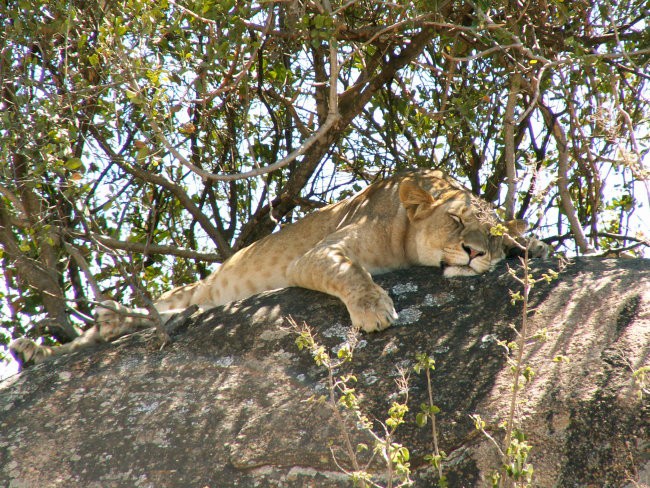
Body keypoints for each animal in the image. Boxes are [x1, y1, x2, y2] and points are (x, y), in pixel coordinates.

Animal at [11, 170, 548, 368]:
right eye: (455, 221)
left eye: (492, 235)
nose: (476, 253)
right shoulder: (314, 256)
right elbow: (353, 274)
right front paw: (374, 310)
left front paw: (532, 244)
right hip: (168, 300)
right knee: (104, 328)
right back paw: (36, 349)